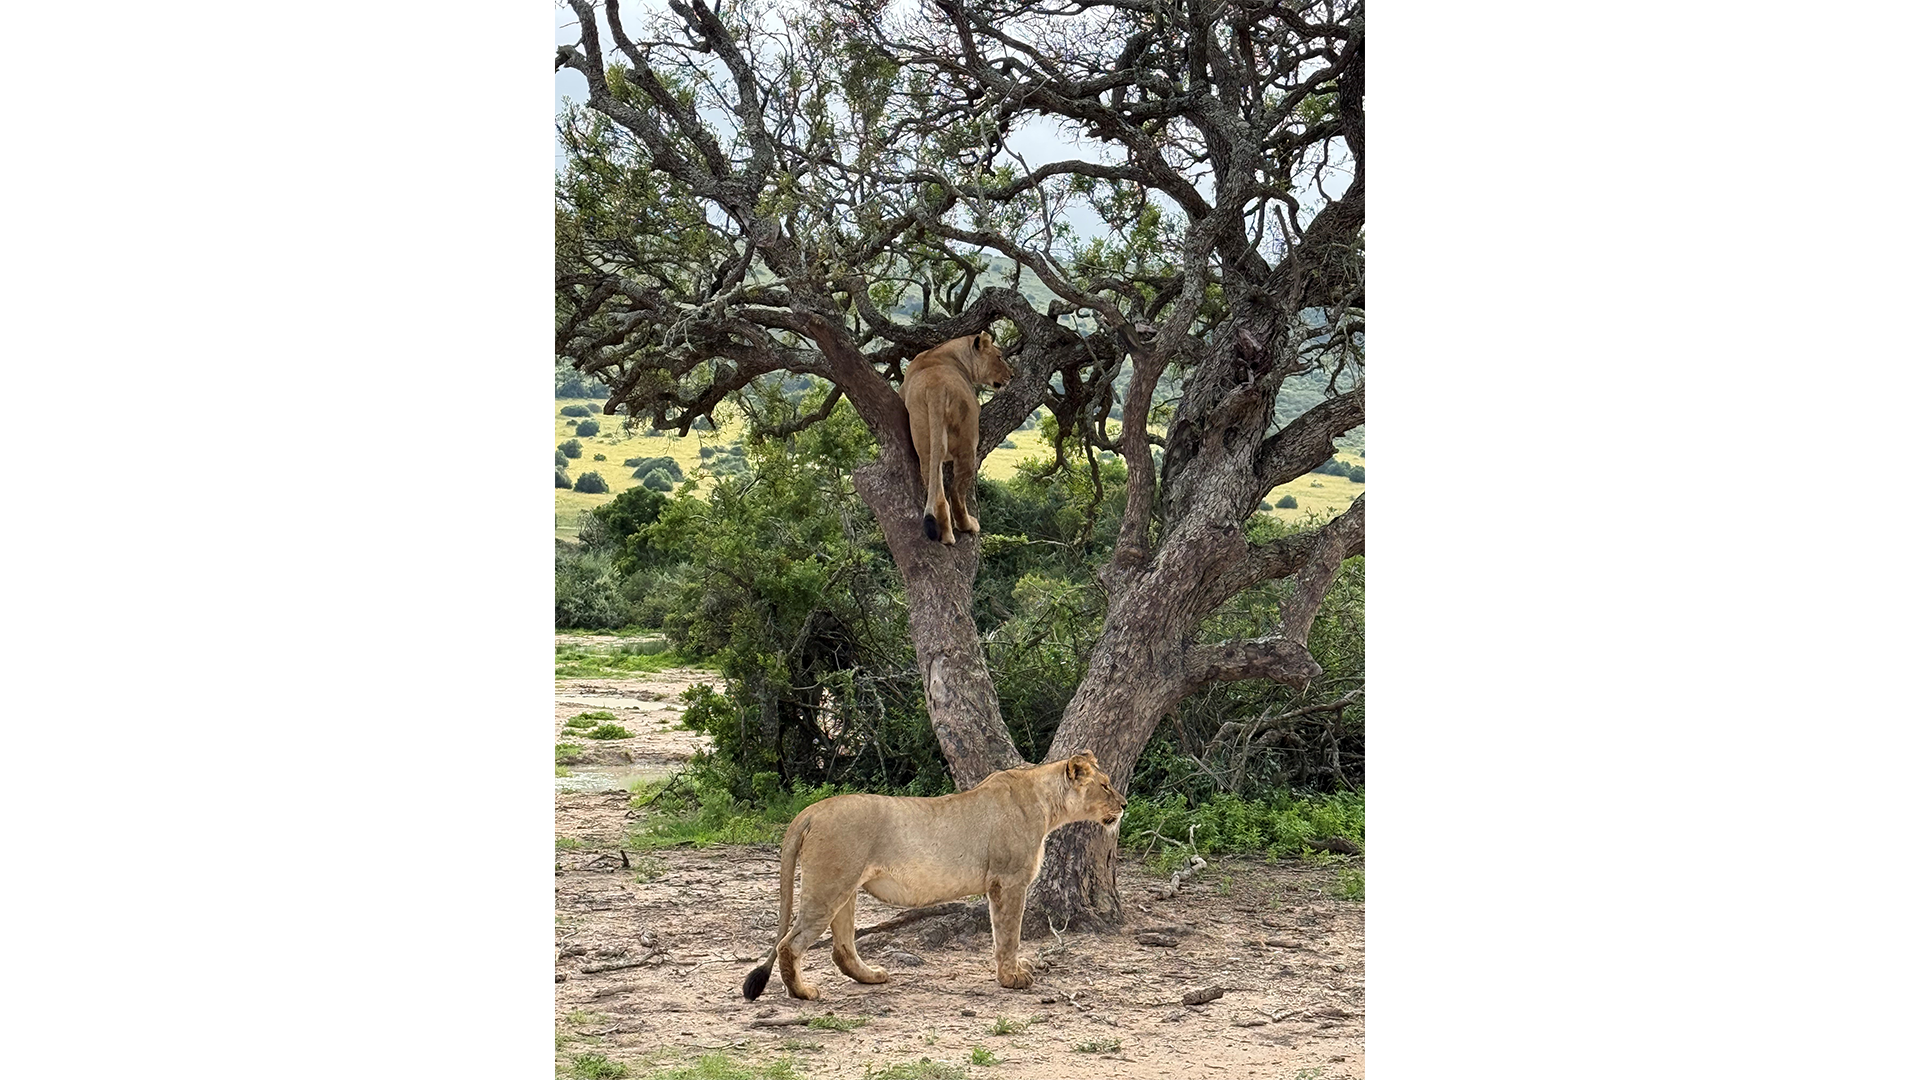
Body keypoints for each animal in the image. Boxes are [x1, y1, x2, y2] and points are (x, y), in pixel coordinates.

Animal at [740, 752, 1125, 1001]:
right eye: (1105, 785)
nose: (1123, 805)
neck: (1047, 804)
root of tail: (810, 811)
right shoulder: (1009, 880)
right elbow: (1009, 935)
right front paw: (1012, 978)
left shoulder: (999, 884)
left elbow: (1002, 934)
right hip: (828, 886)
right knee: (789, 944)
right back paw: (803, 993)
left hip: (845, 889)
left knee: (841, 948)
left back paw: (872, 977)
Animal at [899, 331, 1014, 544]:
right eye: (999, 357)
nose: (1011, 375)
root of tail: (935, 386)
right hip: (967, 439)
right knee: (956, 492)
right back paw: (968, 525)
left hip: (922, 435)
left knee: (937, 490)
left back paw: (946, 535)